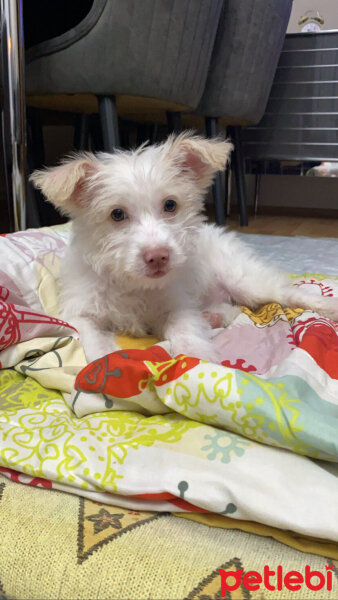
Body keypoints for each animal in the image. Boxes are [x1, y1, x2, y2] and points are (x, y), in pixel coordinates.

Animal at [30, 133, 338, 364]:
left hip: (244, 280)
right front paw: (105, 360)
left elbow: (186, 330)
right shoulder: (79, 312)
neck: (133, 285)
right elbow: (91, 337)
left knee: (285, 293)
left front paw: (197, 361)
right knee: (232, 307)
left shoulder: (177, 305)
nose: (158, 256)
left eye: (170, 205)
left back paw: (327, 306)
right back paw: (213, 316)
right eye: (117, 214)